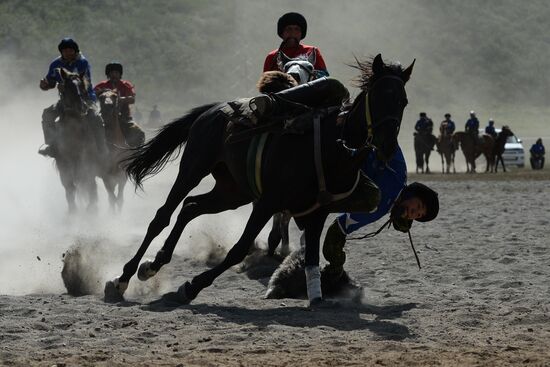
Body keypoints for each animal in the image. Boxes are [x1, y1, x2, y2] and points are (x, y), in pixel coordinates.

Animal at [54, 69, 105, 213]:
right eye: (68, 86)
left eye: (82, 86)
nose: (80, 106)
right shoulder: (63, 162)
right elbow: (69, 186)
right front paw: (73, 211)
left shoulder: (87, 159)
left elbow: (88, 181)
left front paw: (90, 208)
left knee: (89, 184)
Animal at [103, 54, 416, 308]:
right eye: (377, 97)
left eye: (403, 101)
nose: (387, 146)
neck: (332, 148)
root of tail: (215, 108)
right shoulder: (267, 203)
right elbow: (239, 249)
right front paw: (190, 287)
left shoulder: (317, 214)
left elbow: (312, 256)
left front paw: (316, 296)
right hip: (193, 169)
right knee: (163, 216)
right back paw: (122, 279)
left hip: (232, 191)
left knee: (191, 207)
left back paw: (154, 263)